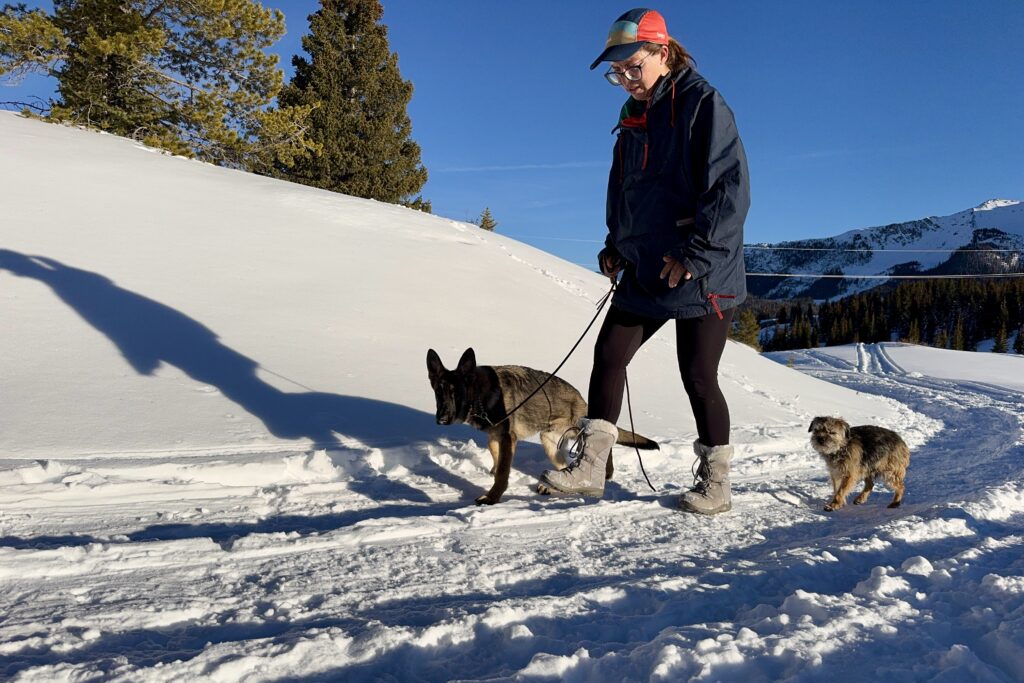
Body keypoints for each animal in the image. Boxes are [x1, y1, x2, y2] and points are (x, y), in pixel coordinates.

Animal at [428, 350, 659, 505]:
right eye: (438, 392)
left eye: (456, 393)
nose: (442, 419)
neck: (479, 396)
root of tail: (581, 400)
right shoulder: (496, 437)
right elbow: (496, 458)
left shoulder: (507, 438)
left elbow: (502, 472)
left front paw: (492, 496)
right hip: (549, 442)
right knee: (564, 466)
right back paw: (552, 486)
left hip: (574, 432)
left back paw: (604, 471)